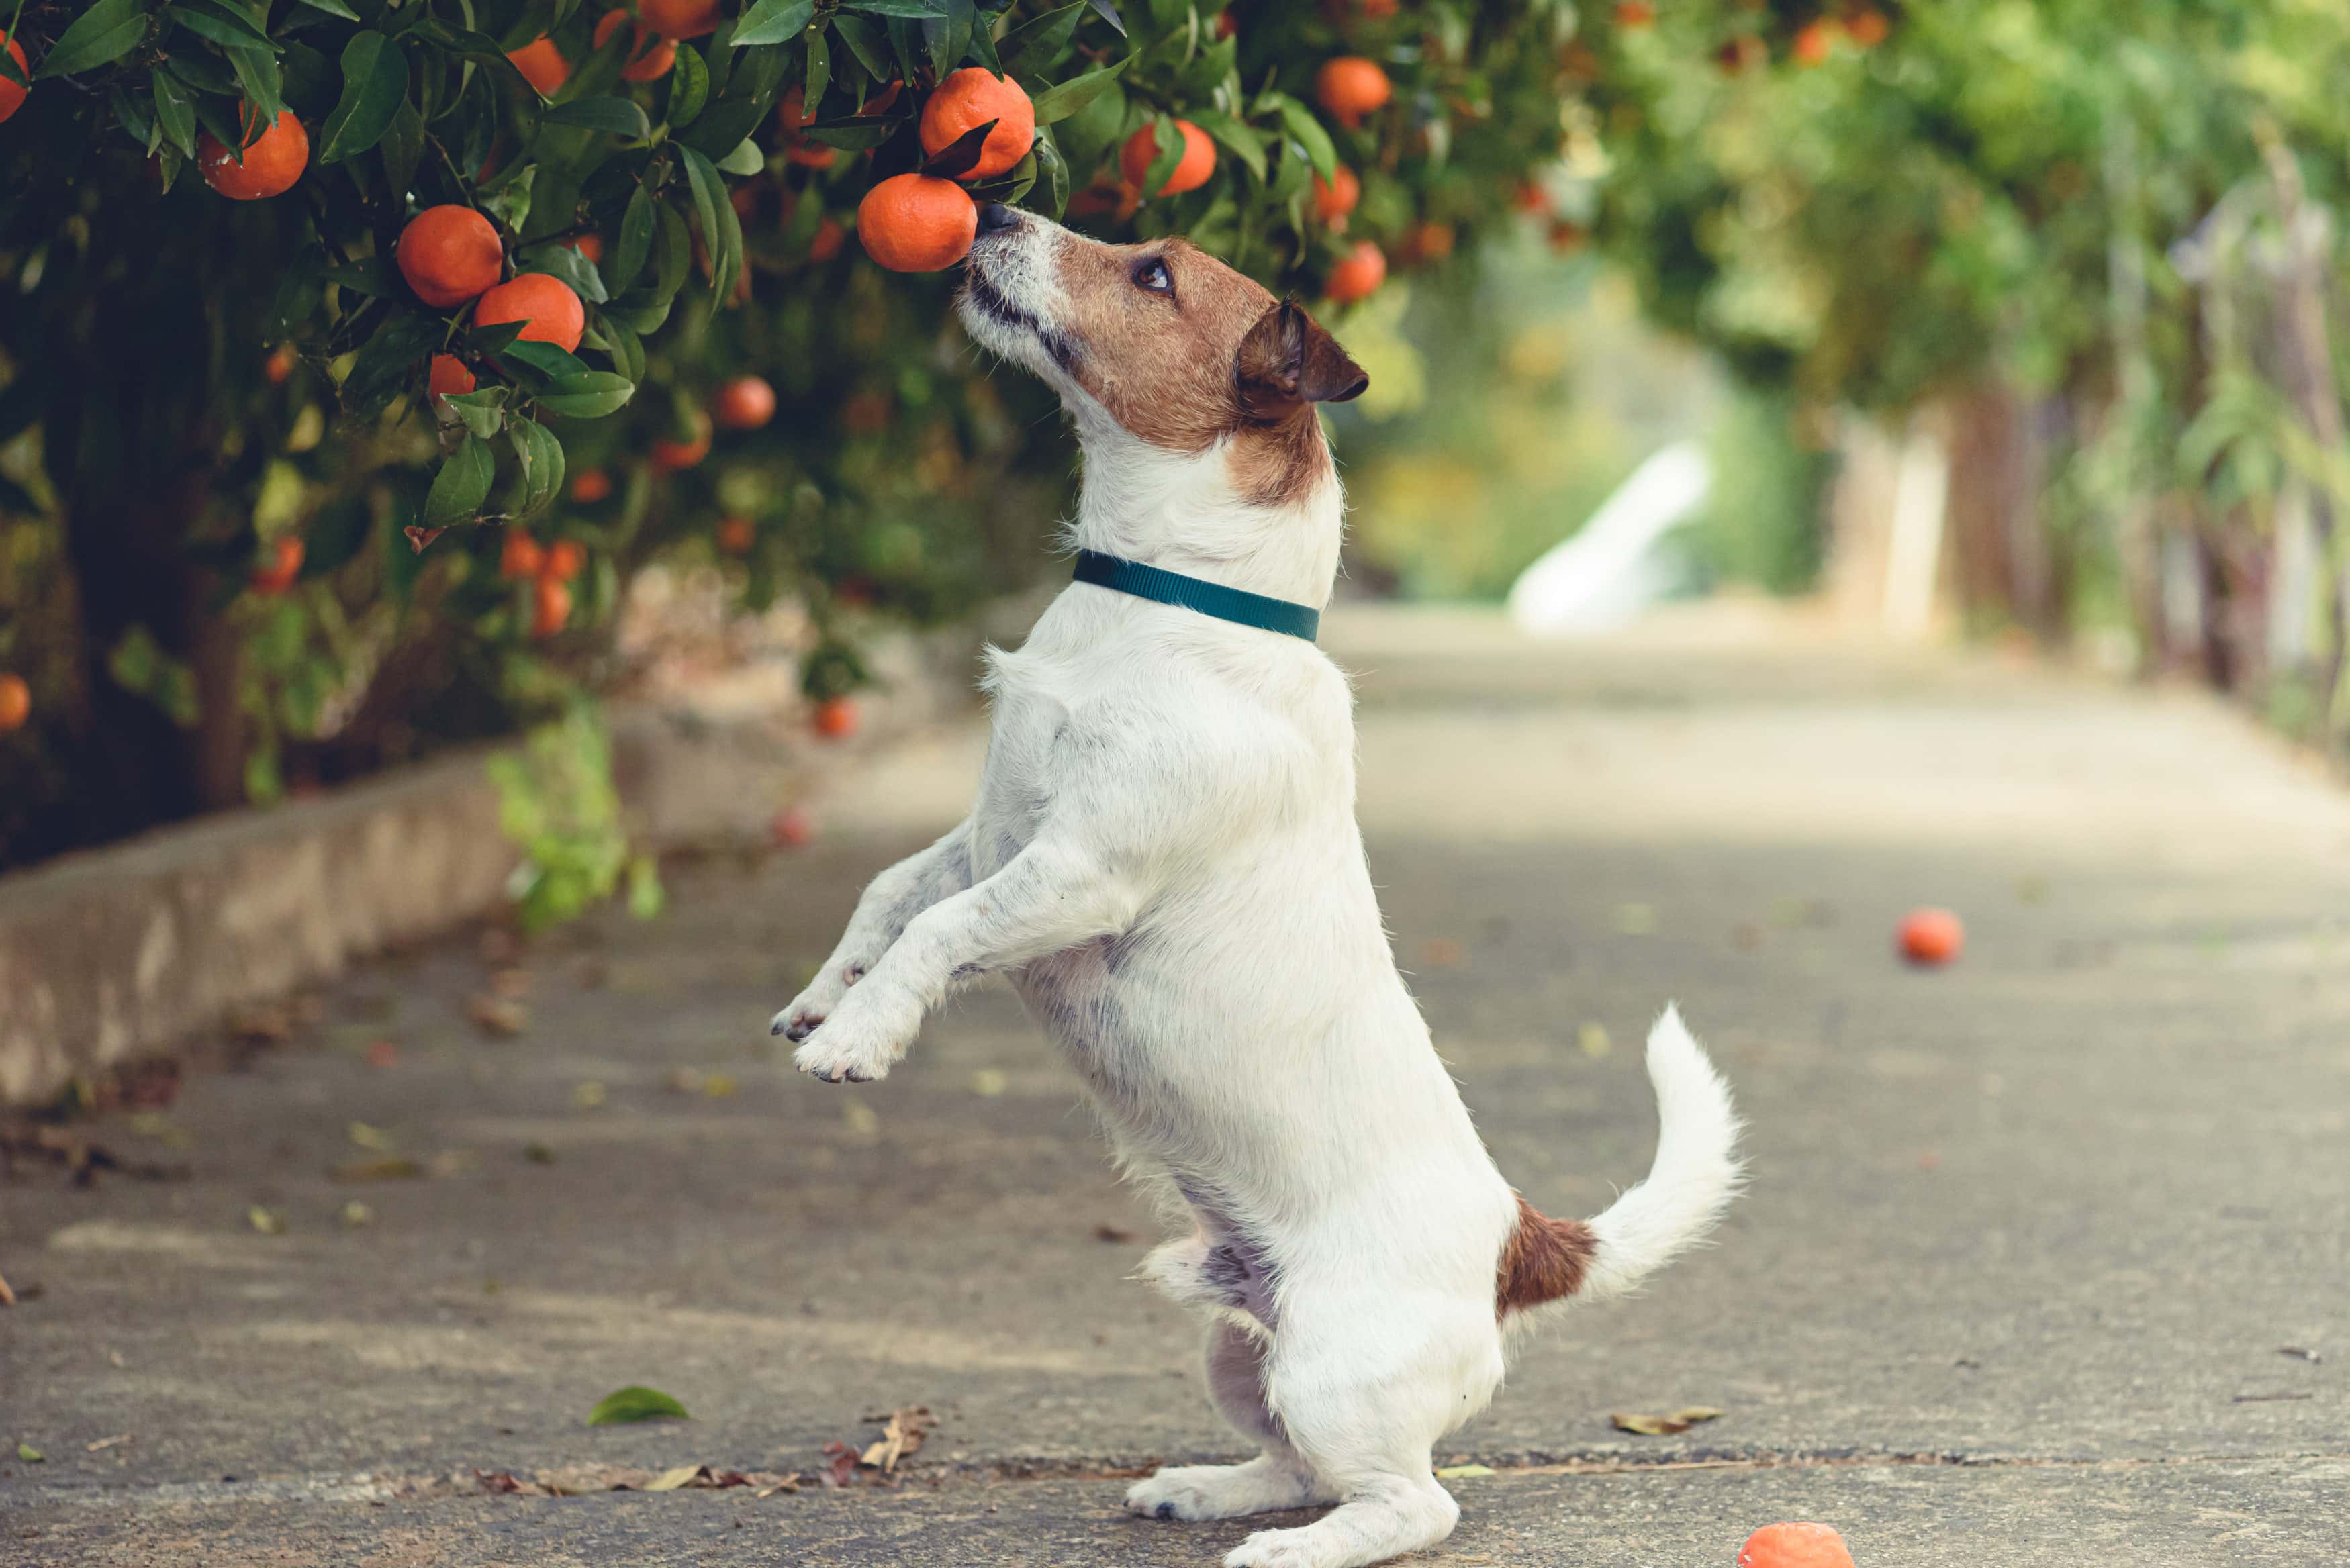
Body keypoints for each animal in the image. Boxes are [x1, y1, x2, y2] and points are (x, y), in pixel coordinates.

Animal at [775, 205, 1748, 1568]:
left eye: (1153, 275)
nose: (998, 208)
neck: (1166, 606)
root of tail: (1515, 1239)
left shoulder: (1077, 872)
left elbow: (942, 934)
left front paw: (858, 1040)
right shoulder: (990, 832)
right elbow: (888, 896)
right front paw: (823, 999)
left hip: (1337, 1370)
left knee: (1412, 1504)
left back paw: (1290, 1550)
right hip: (1242, 1350)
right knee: (1293, 1462)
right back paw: (1204, 1490)